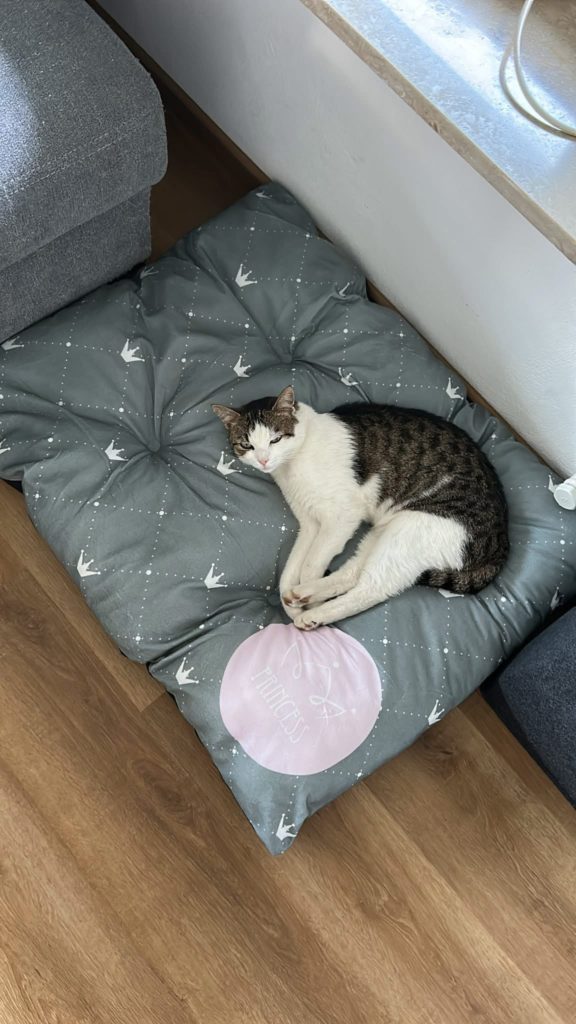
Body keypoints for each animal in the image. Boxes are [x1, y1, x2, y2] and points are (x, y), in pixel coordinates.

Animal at [213, 385, 509, 630]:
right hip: (384, 534)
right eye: (247, 445)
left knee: (370, 589)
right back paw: (303, 595)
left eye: (275, 440)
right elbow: (290, 569)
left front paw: (305, 607)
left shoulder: (342, 517)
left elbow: (309, 565)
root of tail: (501, 547)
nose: (264, 461)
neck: (291, 466)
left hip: (410, 531)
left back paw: (314, 613)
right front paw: (291, 602)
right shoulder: (309, 524)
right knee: (352, 574)